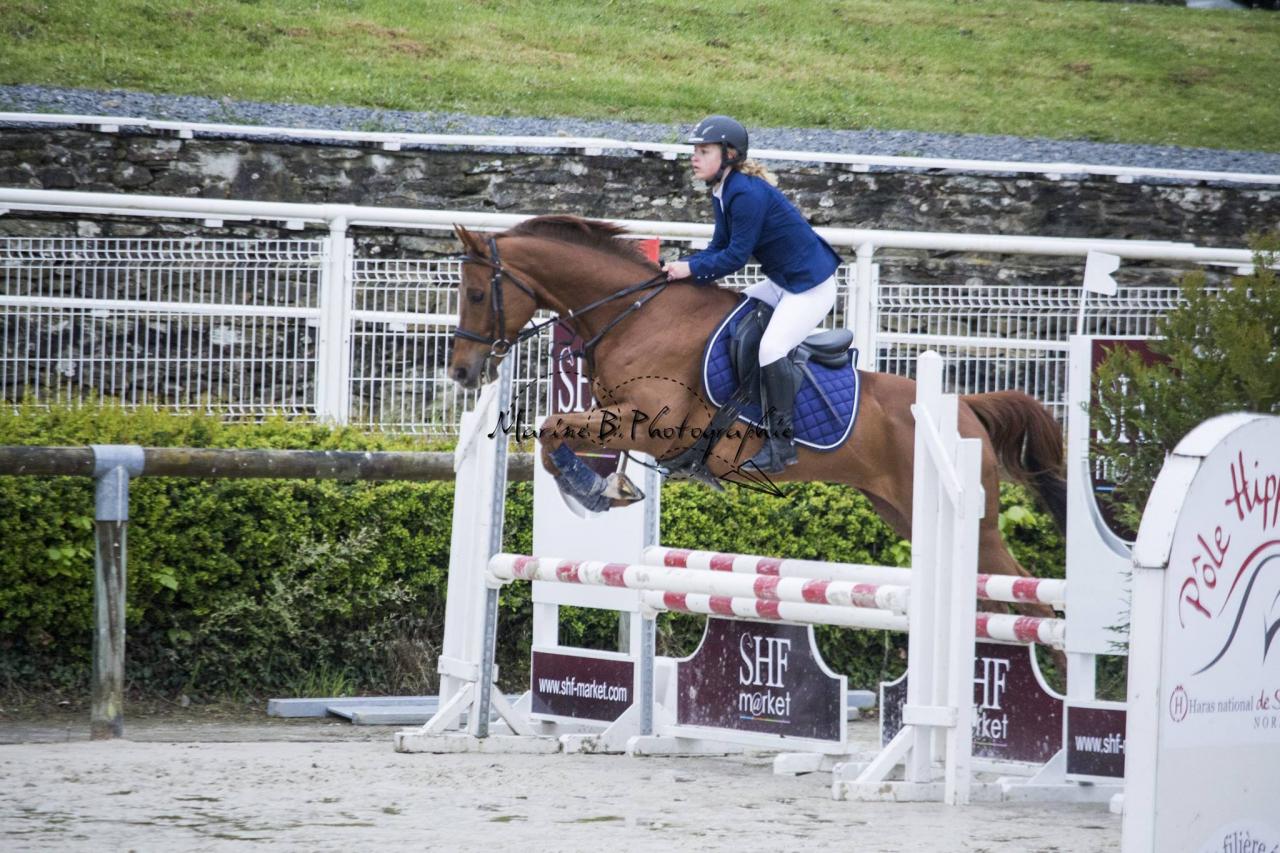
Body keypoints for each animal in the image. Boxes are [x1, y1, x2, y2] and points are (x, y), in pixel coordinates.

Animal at [450, 216, 1070, 617]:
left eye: (477, 294)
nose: (461, 371)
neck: (635, 313)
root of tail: (964, 406)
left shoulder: (652, 423)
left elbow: (554, 429)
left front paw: (594, 490)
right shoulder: (620, 415)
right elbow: (556, 435)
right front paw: (606, 488)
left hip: (971, 524)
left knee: (1024, 594)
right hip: (902, 512)